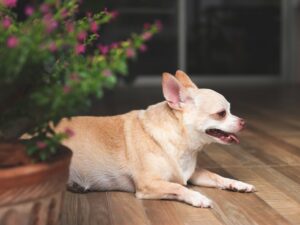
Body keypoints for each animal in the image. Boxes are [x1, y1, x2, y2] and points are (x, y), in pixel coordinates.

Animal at [55, 70, 255, 207]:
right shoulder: (149, 184)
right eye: (221, 113)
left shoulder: (191, 173)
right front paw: (198, 197)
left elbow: (215, 176)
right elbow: (179, 187)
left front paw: (237, 184)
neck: (182, 146)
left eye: (230, 110)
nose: (244, 122)